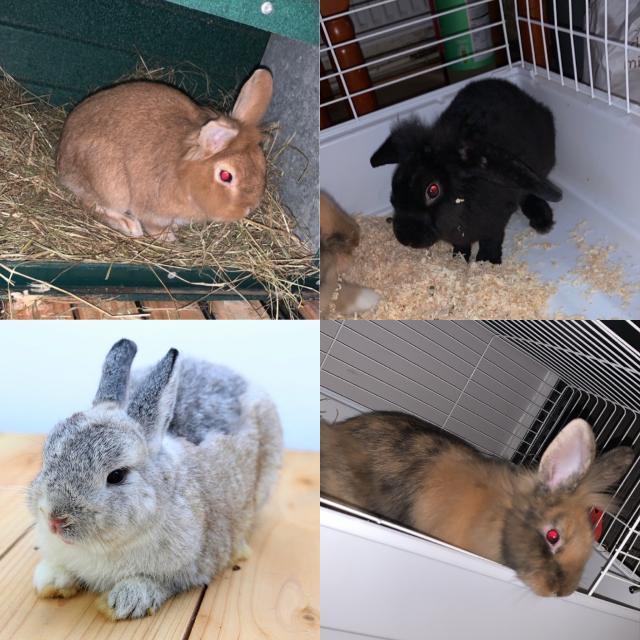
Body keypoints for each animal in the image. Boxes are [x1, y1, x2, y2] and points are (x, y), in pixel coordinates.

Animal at [28, 338, 283, 620]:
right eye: (46, 455)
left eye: (116, 476)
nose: (55, 520)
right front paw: (50, 580)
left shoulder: (189, 567)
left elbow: (157, 582)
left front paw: (125, 600)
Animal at [56, 68, 273, 240]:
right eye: (226, 176)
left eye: (262, 165)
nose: (249, 208)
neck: (183, 177)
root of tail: (61, 158)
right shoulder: (151, 211)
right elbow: (152, 225)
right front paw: (167, 237)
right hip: (110, 185)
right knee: (92, 204)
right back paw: (130, 226)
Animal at [370, 79, 563, 264]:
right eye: (395, 182)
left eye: (432, 190)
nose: (406, 238)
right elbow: (462, 245)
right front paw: (458, 260)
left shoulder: (495, 223)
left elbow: (491, 240)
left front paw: (487, 261)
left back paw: (542, 221)